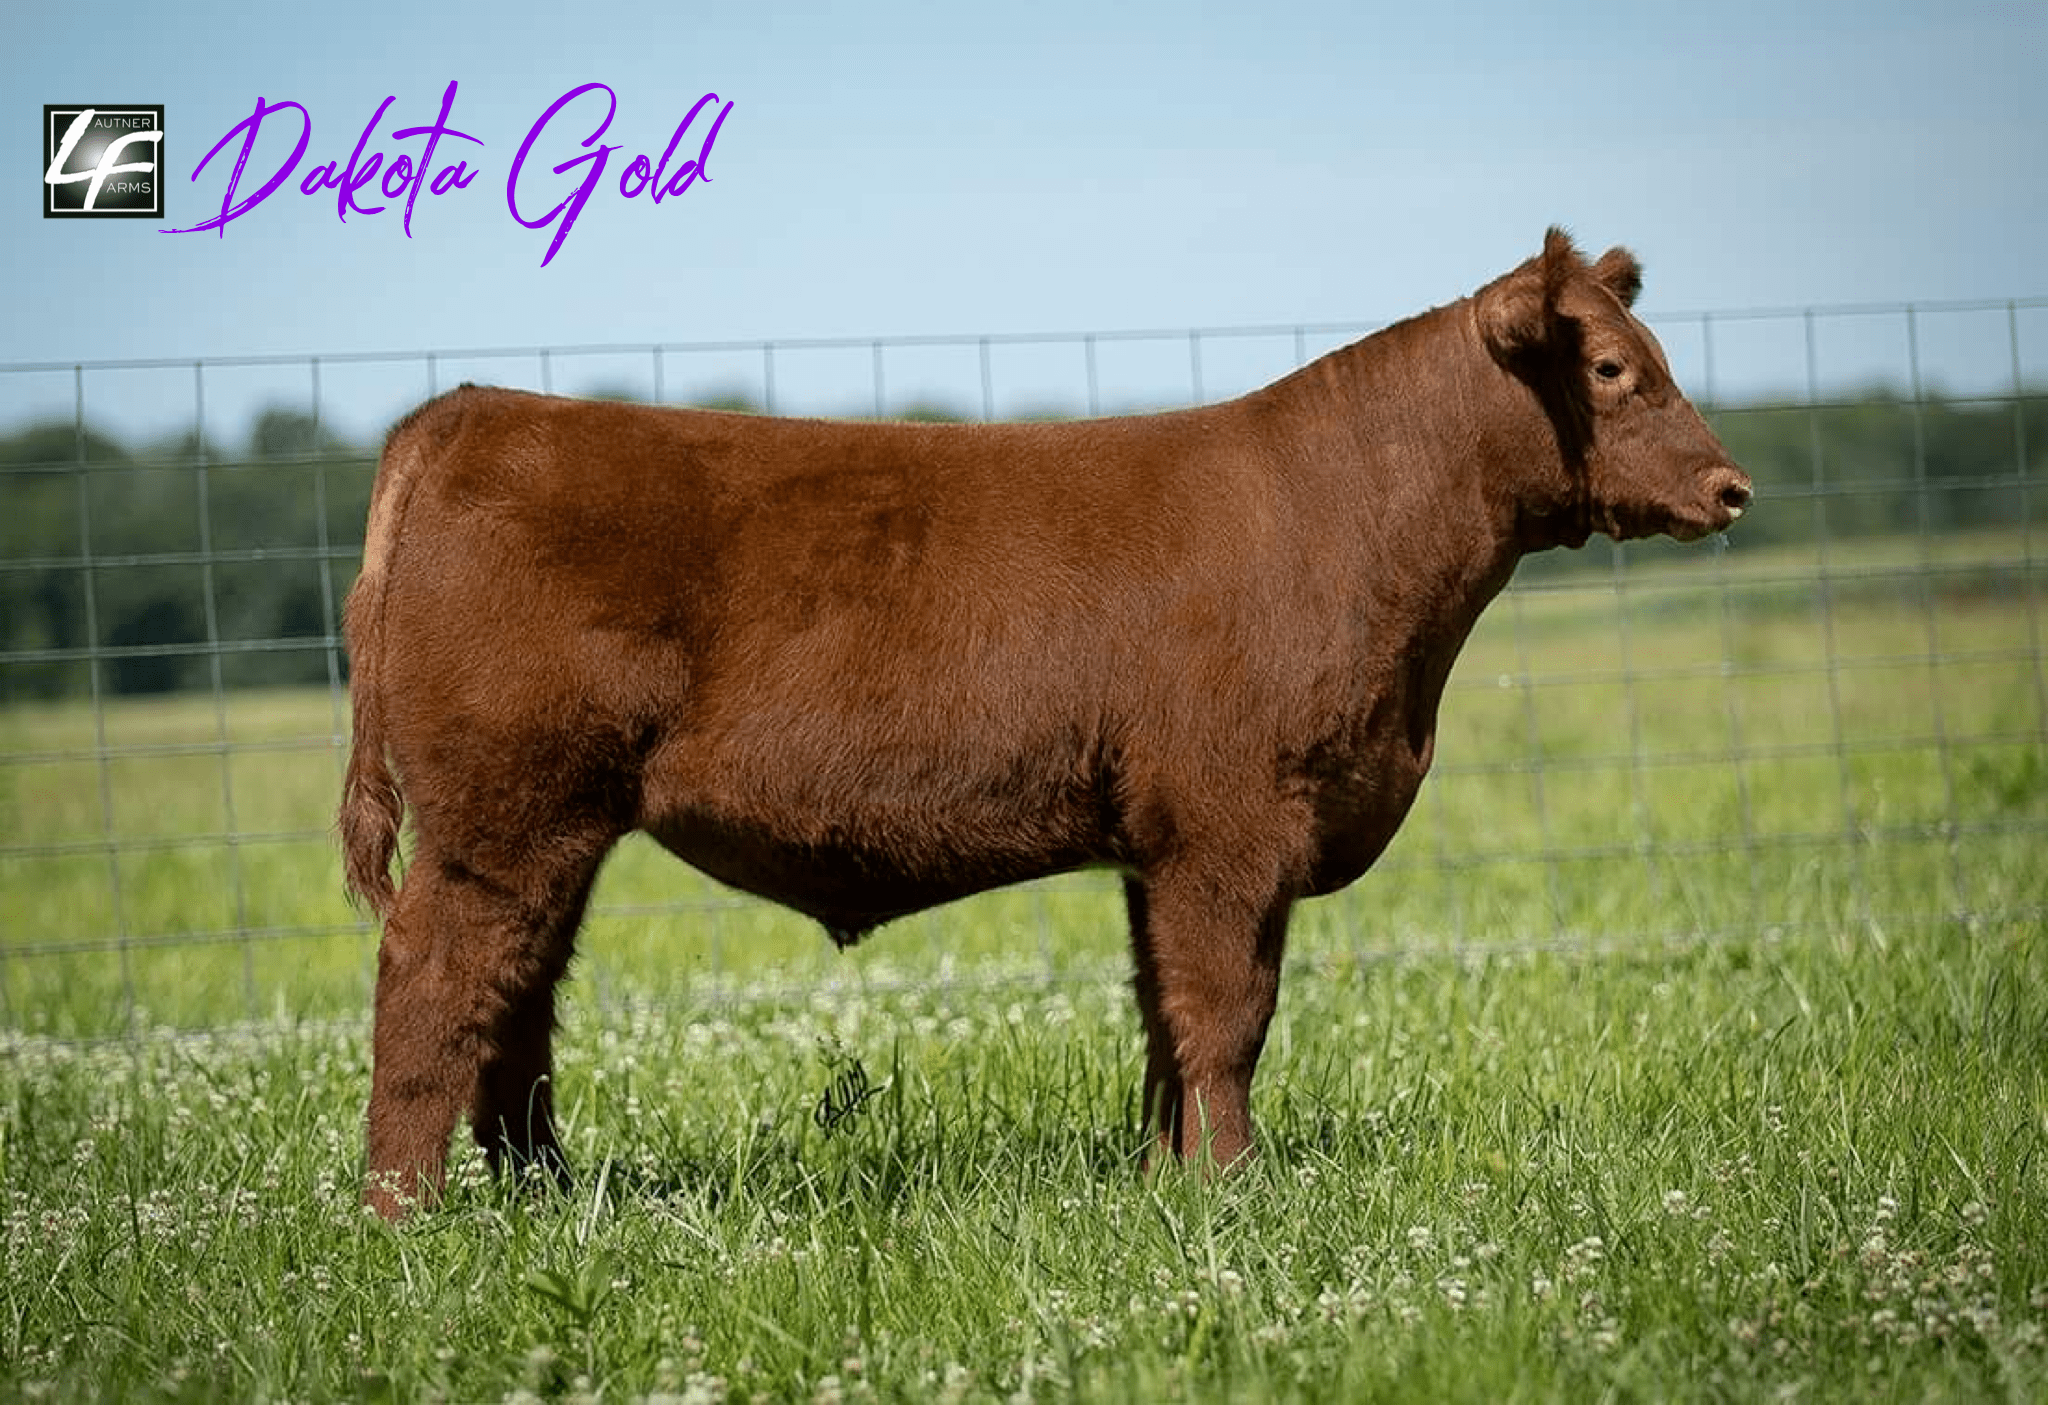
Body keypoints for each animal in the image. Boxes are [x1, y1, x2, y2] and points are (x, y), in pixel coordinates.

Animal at [340, 228, 1751, 1219]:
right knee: (433, 985)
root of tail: (472, 408)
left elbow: (1164, 1016)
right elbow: (1227, 1012)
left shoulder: (1159, 840)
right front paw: (1233, 1191)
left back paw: (544, 1199)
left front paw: (1165, 1180)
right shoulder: (1229, 823)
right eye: (1611, 369)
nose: (1730, 486)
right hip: (502, 815)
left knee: (517, 1001)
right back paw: (407, 1219)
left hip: (547, 828)